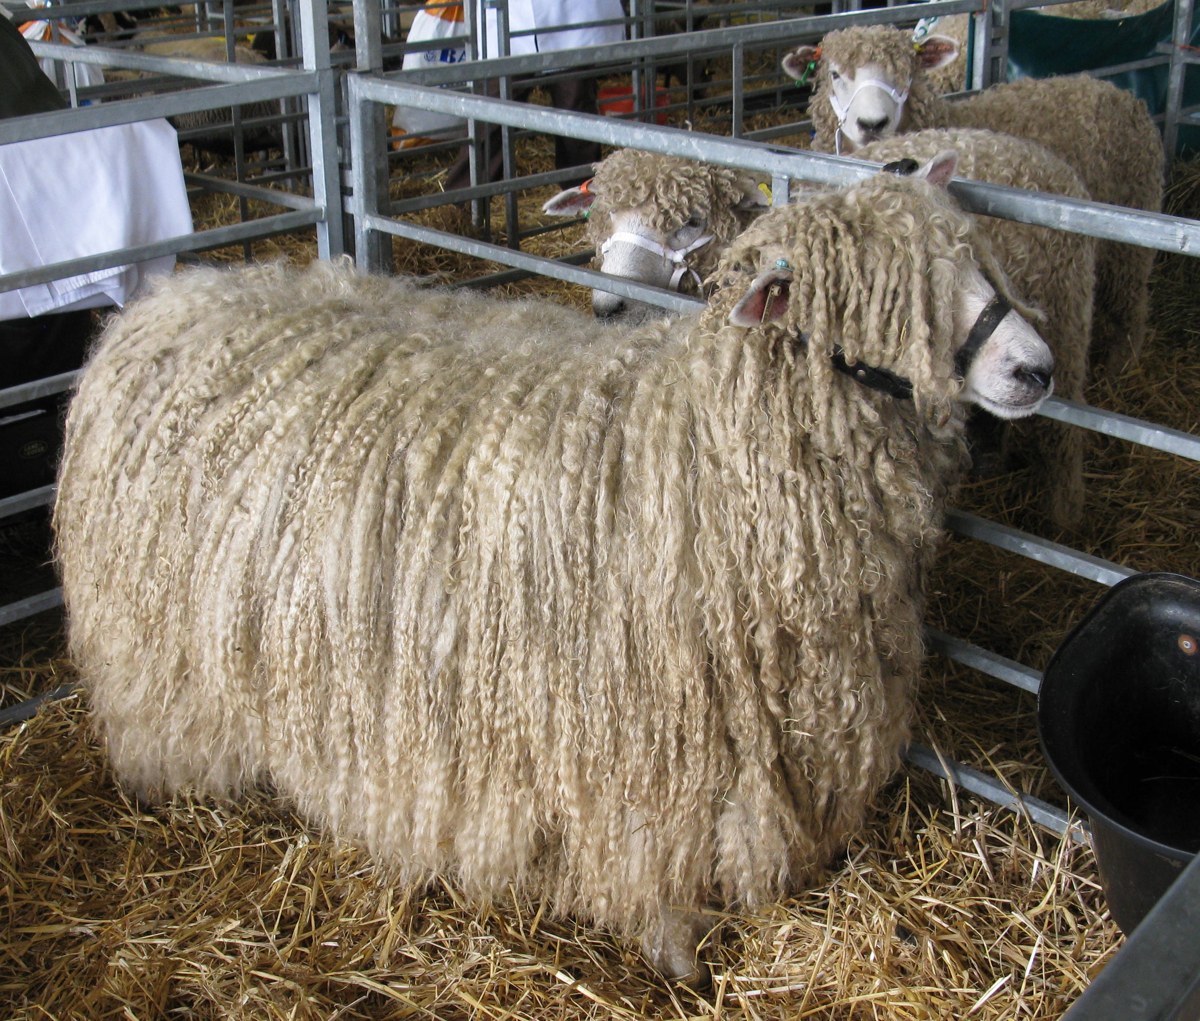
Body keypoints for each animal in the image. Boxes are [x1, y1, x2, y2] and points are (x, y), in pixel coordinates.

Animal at [781, 25, 1165, 372]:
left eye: (907, 73)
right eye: (835, 74)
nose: (873, 123)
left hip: (1117, 258)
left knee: (1130, 307)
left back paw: (1123, 363)